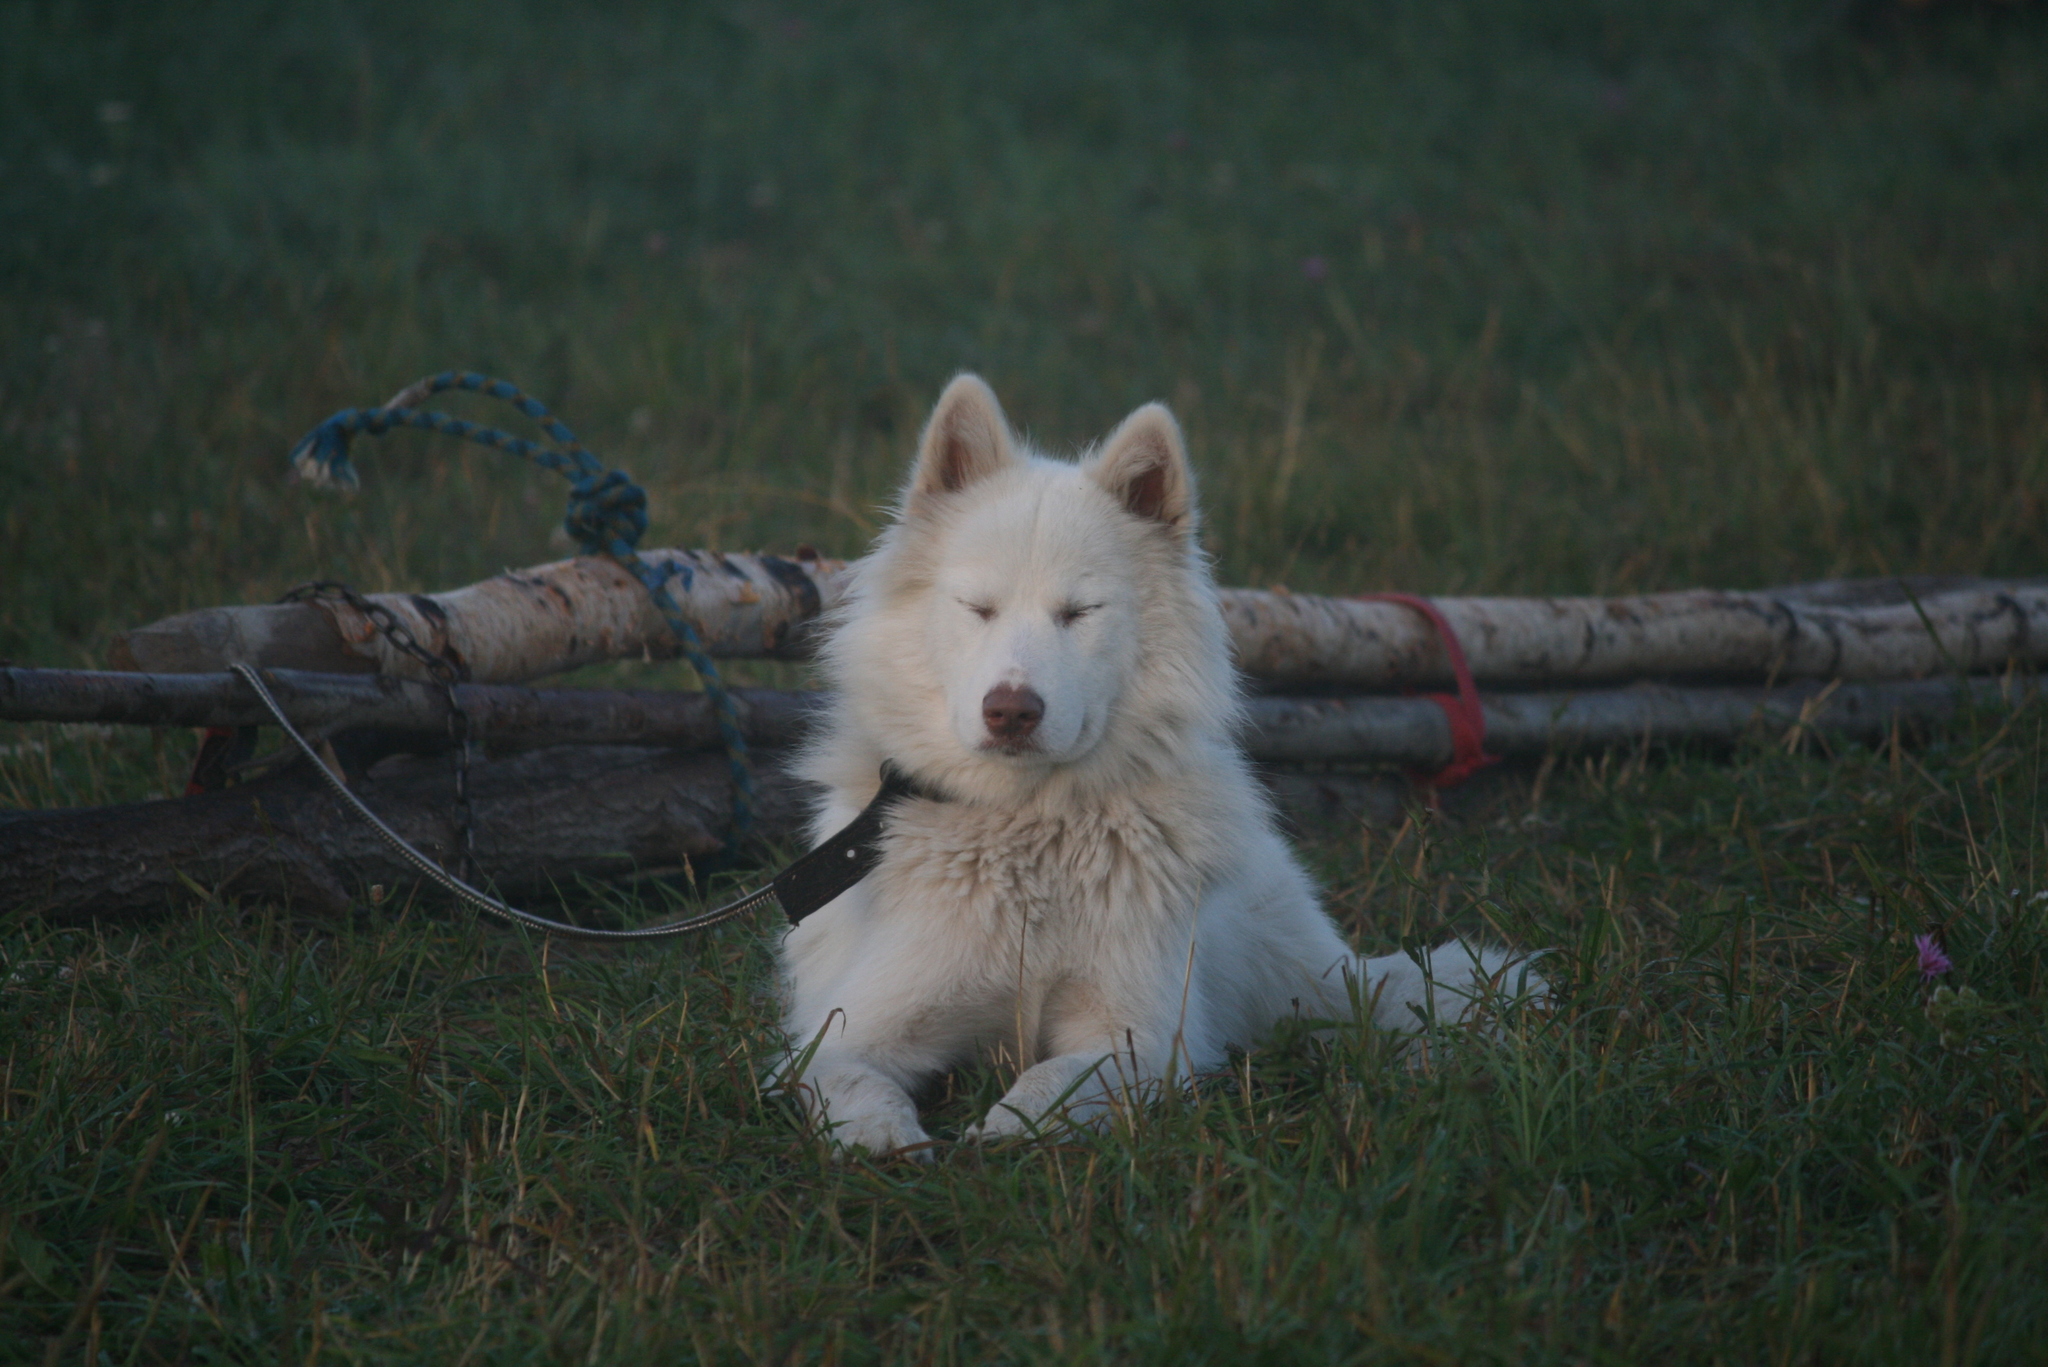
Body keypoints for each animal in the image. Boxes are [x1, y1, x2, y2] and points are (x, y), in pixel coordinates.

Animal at [778, 370, 1540, 1155]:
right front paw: (886, 1141)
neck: (1029, 831)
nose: (1011, 711)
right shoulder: (843, 1034)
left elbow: (1053, 1079)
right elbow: (851, 1081)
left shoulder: (1139, 1036)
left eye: (1080, 612)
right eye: (977, 607)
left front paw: (1008, 1128)